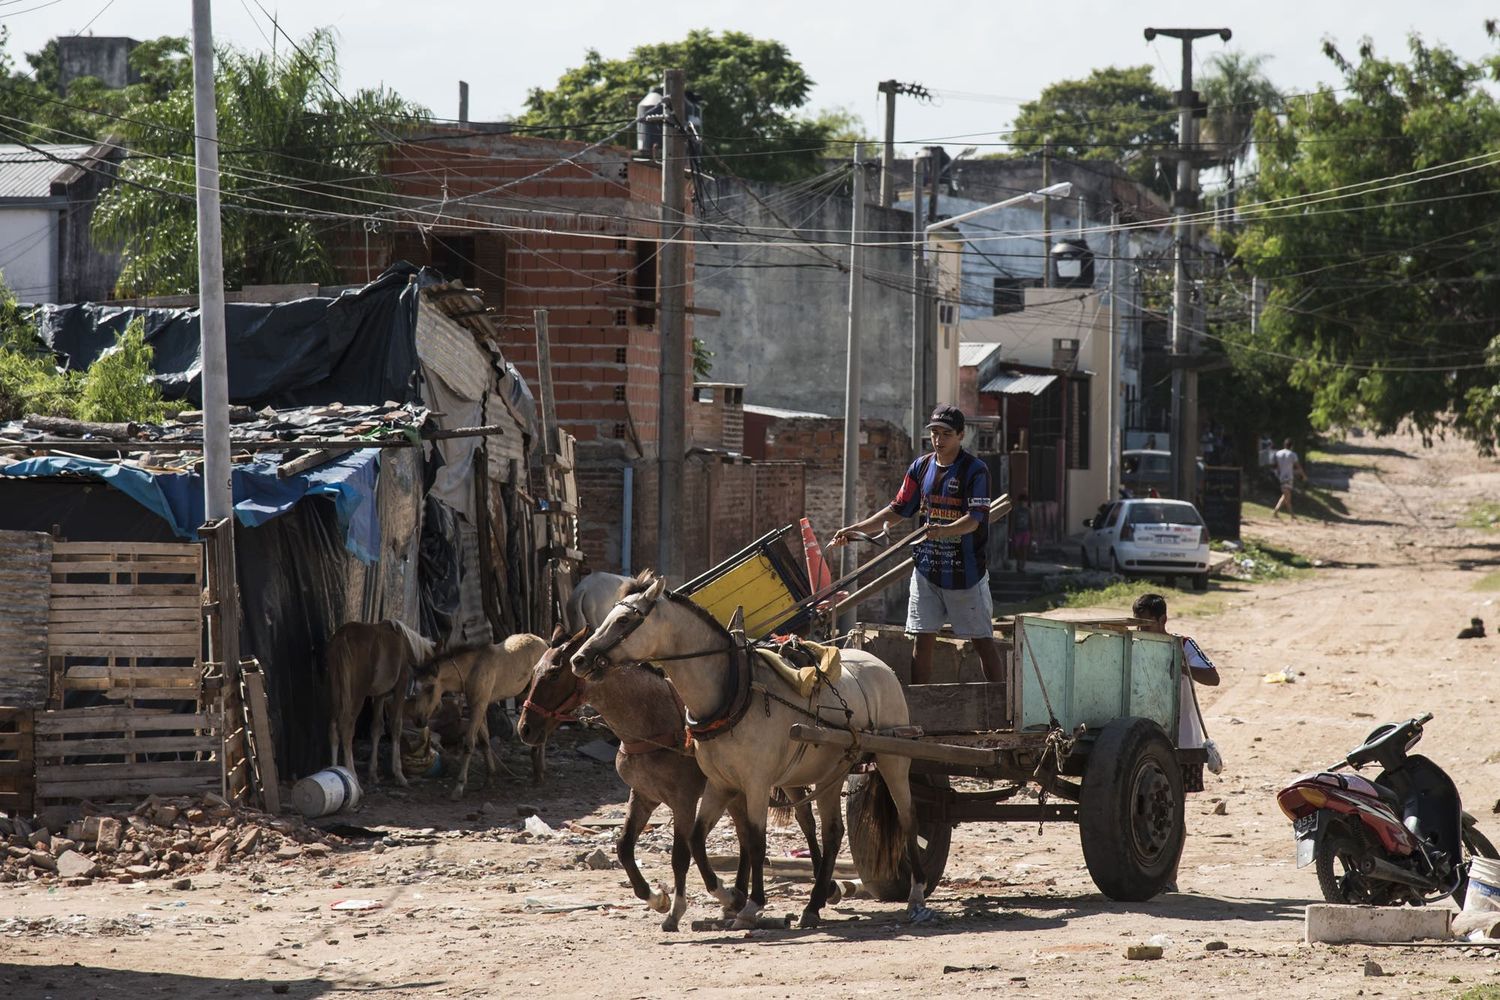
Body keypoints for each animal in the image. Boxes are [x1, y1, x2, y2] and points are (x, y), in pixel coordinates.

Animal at [327, 617, 438, 791]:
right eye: (431, 687)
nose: (422, 721)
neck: (406, 644)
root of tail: (343, 636)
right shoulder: (400, 687)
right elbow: (396, 726)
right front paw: (399, 775)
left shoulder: (379, 695)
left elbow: (376, 728)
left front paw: (373, 774)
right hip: (357, 695)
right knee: (346, 728)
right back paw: (354, 780)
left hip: (335, 693)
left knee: (332, 728)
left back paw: (334, 772)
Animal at [411, 632, 552, 797]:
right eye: (415, 689)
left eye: (430, 688)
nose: (418, 720)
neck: (471, 670)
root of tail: (544, 643)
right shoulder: (480, 706)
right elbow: (484, 741)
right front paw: (489, 778)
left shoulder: (478, 706)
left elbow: (469, 743)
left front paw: (459, 786)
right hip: (524, 694)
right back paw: (540, 769)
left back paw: (539, 773)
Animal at [516, 629, 822, 935]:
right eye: (534, 671)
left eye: (554, 674)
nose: (525, 729)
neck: (653, 722)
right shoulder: (643, 796)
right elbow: (624, 848)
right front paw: (657, 899)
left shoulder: (682, 800)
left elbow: (680, 856)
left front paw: (678, 910)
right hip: (736, 791)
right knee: (746, 836)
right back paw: (738, 900)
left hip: (786, 777)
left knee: (806, 821)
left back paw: (818, 890)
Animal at [573, 569, 924, 929]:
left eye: (624, 619)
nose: (579, 659)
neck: (732, 693)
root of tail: (881, 665)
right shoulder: (720, 784)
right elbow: (697, 840)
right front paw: (728, 896)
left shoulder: (755, 783)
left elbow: (755, 840)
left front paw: (751, 903)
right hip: (830, 772)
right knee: (831, 831)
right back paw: (813, 905)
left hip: (893, 759)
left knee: (908, 818)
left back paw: (916, 896)